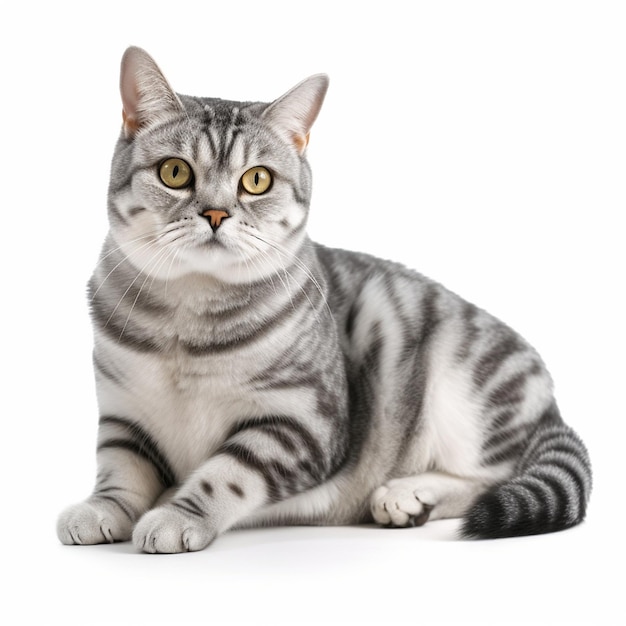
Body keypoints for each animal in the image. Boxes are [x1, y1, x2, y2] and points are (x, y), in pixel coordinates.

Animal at [56, 45, 588, 552]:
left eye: (257, 180)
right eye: (174, 172)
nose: (216, 213)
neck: (186, 320)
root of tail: (550, 402)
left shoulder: (300, 424)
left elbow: (224, 475)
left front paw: (176, 514)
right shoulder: (124, 413)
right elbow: (119, 468)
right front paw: (102, 508)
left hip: (462, 384)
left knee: (492, 476)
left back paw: (408, 493)